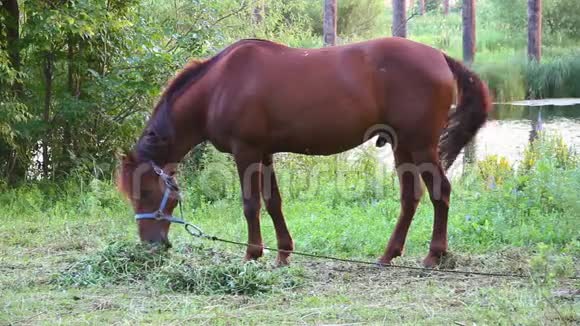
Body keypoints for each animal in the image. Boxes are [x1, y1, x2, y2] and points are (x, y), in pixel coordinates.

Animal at [118, 37, 490, 268]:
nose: (150, 246)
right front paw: (283, 254)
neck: (218, 86)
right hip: (403, 147)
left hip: (421, 144)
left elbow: (251, 204)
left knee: (440, 192)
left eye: (145, 192)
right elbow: (273, 202)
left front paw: (252, 254)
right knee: (410, 198)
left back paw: (434, 255)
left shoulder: (246, 152)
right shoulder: (264, 153)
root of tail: (440, 56)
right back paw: (388, 255)